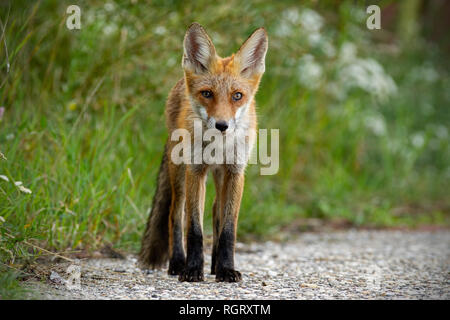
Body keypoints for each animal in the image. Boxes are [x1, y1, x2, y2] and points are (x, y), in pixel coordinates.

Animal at [139, 23, 268, 282]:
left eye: (237, 96)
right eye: (207, 93)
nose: (222, 125)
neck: (218, 146)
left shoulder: (235, 172)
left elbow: (228, 229)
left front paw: (226, 269)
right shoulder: (196, 170)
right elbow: (194, 230)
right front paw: (192, 269)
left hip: (218, 177)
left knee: (216, 211)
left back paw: (216, 265)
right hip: (180, 173)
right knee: (175, 215)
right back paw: (178, 263)